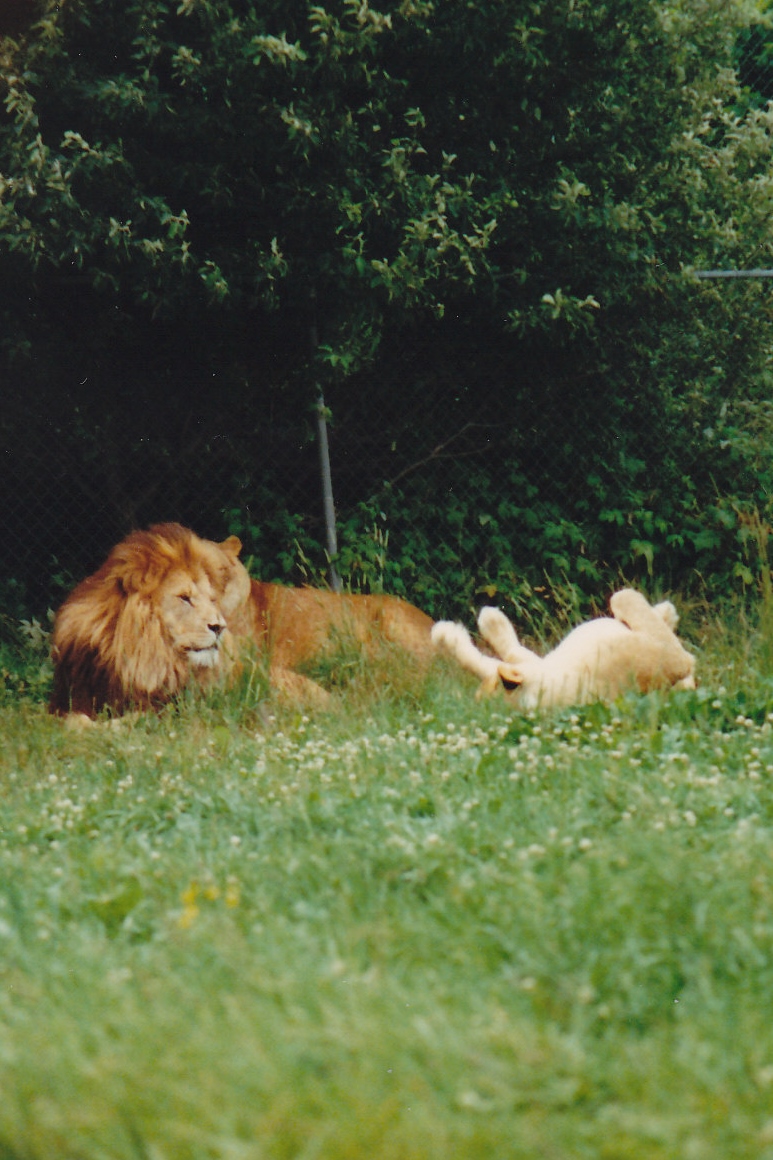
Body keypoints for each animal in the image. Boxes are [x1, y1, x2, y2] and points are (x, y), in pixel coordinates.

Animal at [431, 589, 696, 710]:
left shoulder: (524, 662)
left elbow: (483, 657)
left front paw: (451, 632)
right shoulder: (672, 659)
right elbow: (622, 596)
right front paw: (667, 611)